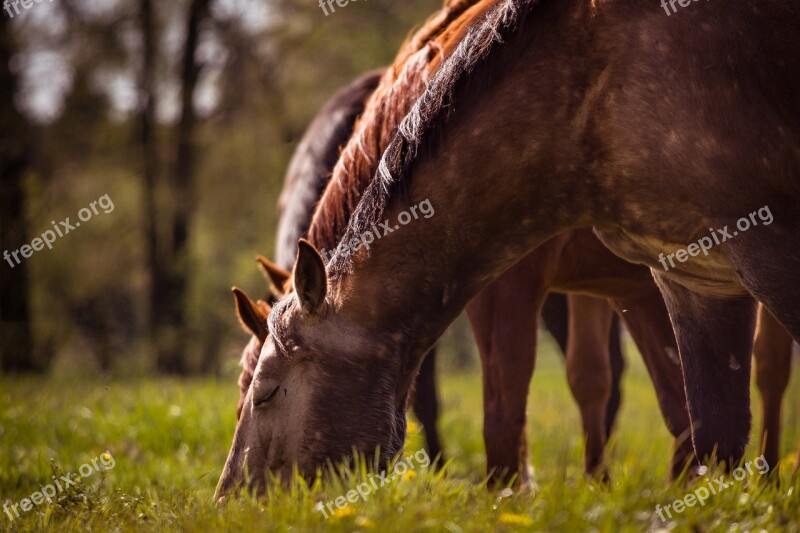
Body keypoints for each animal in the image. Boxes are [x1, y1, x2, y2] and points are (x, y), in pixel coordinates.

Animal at [214, 0, 800, 494]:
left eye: (264, 393)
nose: (231, 501)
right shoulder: (641, 278)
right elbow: (621, 388)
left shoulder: (523, 281)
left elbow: (507, 405)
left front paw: (509, 494)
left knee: (770, 369)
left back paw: (770, 477)